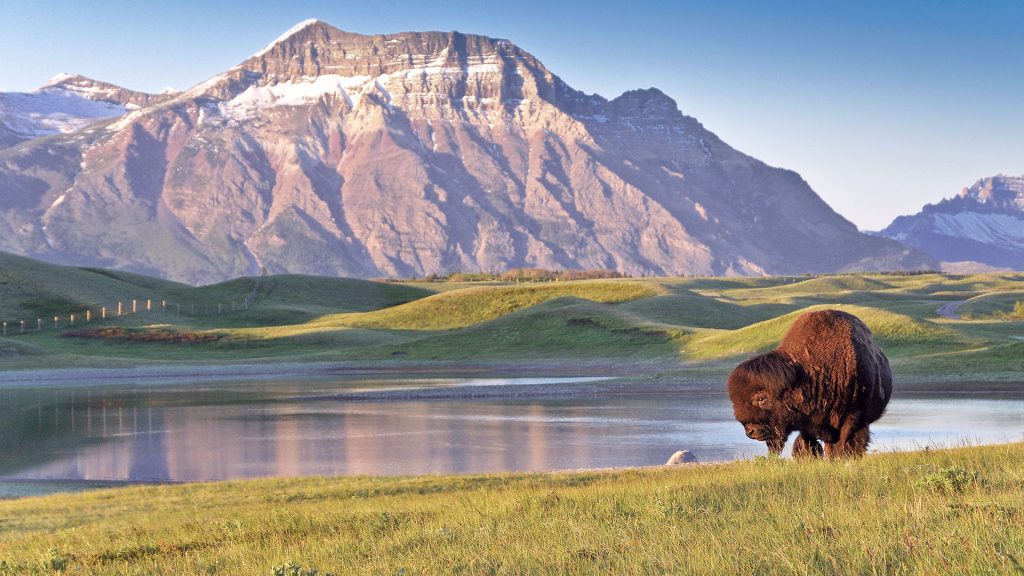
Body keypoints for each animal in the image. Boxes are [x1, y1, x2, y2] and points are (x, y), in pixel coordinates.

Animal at [729, 309, 888, 457]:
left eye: (761, 398)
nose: (750, 431)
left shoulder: (854, 415)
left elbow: (846, 444)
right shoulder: (806, 422)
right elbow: (808, 443)